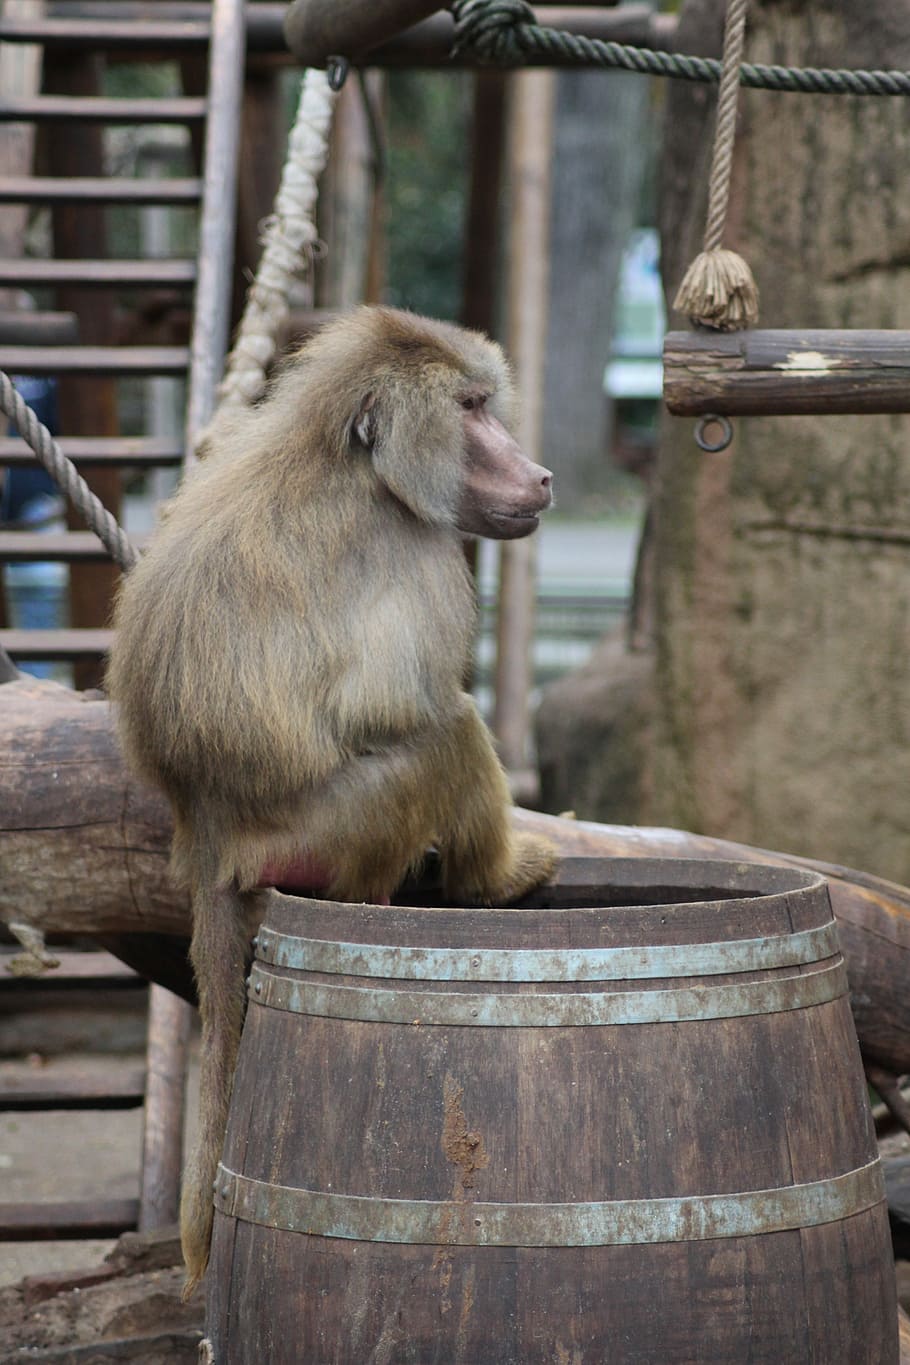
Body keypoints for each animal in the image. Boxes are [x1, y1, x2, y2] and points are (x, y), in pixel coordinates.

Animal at [105, 306, 558, 1294]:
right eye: (470, 409)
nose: (541, 474)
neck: (348, 463)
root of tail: (208, 834)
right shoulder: (420, 553)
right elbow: (403, 704)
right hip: (332, 827)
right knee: (445, 733)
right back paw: (493, 881)